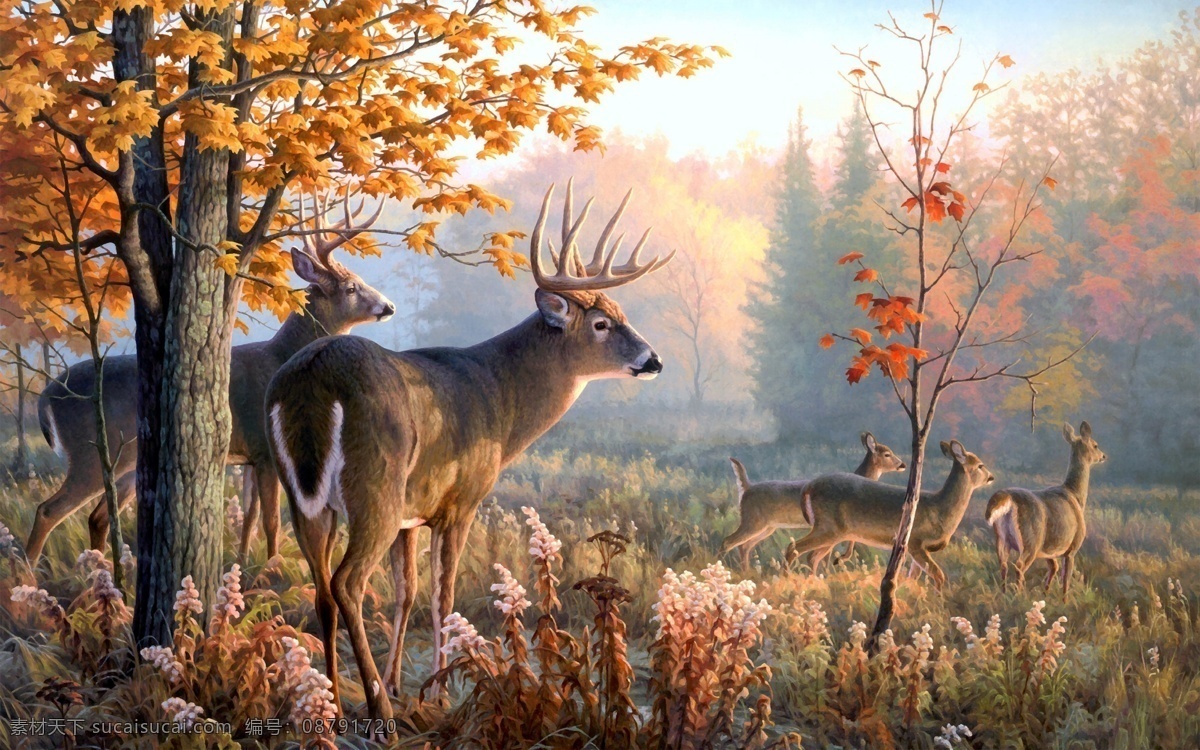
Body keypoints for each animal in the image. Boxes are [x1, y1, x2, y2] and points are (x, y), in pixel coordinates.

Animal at [26, 199, 393, 565]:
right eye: (351, 288)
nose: (388, 306)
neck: (282, 356)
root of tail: (46, 395)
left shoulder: (249, 456)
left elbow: (250, 517)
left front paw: (243, 563)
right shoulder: (265, 449)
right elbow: (272, 520)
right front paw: (273, 565)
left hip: (125, 462)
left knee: (97, 516)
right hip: (88, 452)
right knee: (48, 510)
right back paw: (29, 572)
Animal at [265, 181, 672, 725]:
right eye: (603, 324)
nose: (654, 359)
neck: (498, 399)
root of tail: (311, 378)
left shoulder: (413, 514)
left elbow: (407, 591)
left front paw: (401, 685)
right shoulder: (460, 501)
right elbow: (444, 596)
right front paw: (436, 696)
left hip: (307, 498)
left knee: (324, 590)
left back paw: (331, 700)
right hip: (375, 485)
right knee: (347, 582)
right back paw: (378, 713)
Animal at [722, 432, 906, 569]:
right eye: (887, 454)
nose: (903, 465)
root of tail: (747, 488)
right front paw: (837, 563)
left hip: (767, 528)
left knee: (744, 546)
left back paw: (746, 572)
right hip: (753, 521)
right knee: (728, 541)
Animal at [783, 440, 995, 589]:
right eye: (980, 465)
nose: (992, 477)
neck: (940, 509)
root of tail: (808, 487)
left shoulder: (917, 550)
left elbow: (913, 578)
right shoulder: (914, 542)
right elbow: (938, 575)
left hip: (834, 532)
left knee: (812, 556)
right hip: (828, 527)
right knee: (793, 548)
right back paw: (785, 581)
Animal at [986, 421, 1106, 593]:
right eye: (1095, 445)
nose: (1103, 456)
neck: (1076, 495)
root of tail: (1007, 498)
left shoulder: (1049, 551)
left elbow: (1054, 568)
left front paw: (1045, 593)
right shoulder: (1072, 548)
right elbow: (1066, 579)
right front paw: (1063, 598)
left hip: (1002, 538)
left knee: (1003, 565)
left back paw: (1004, 593)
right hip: (1031, 540)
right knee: (1019, 565)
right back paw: (1019, 595)